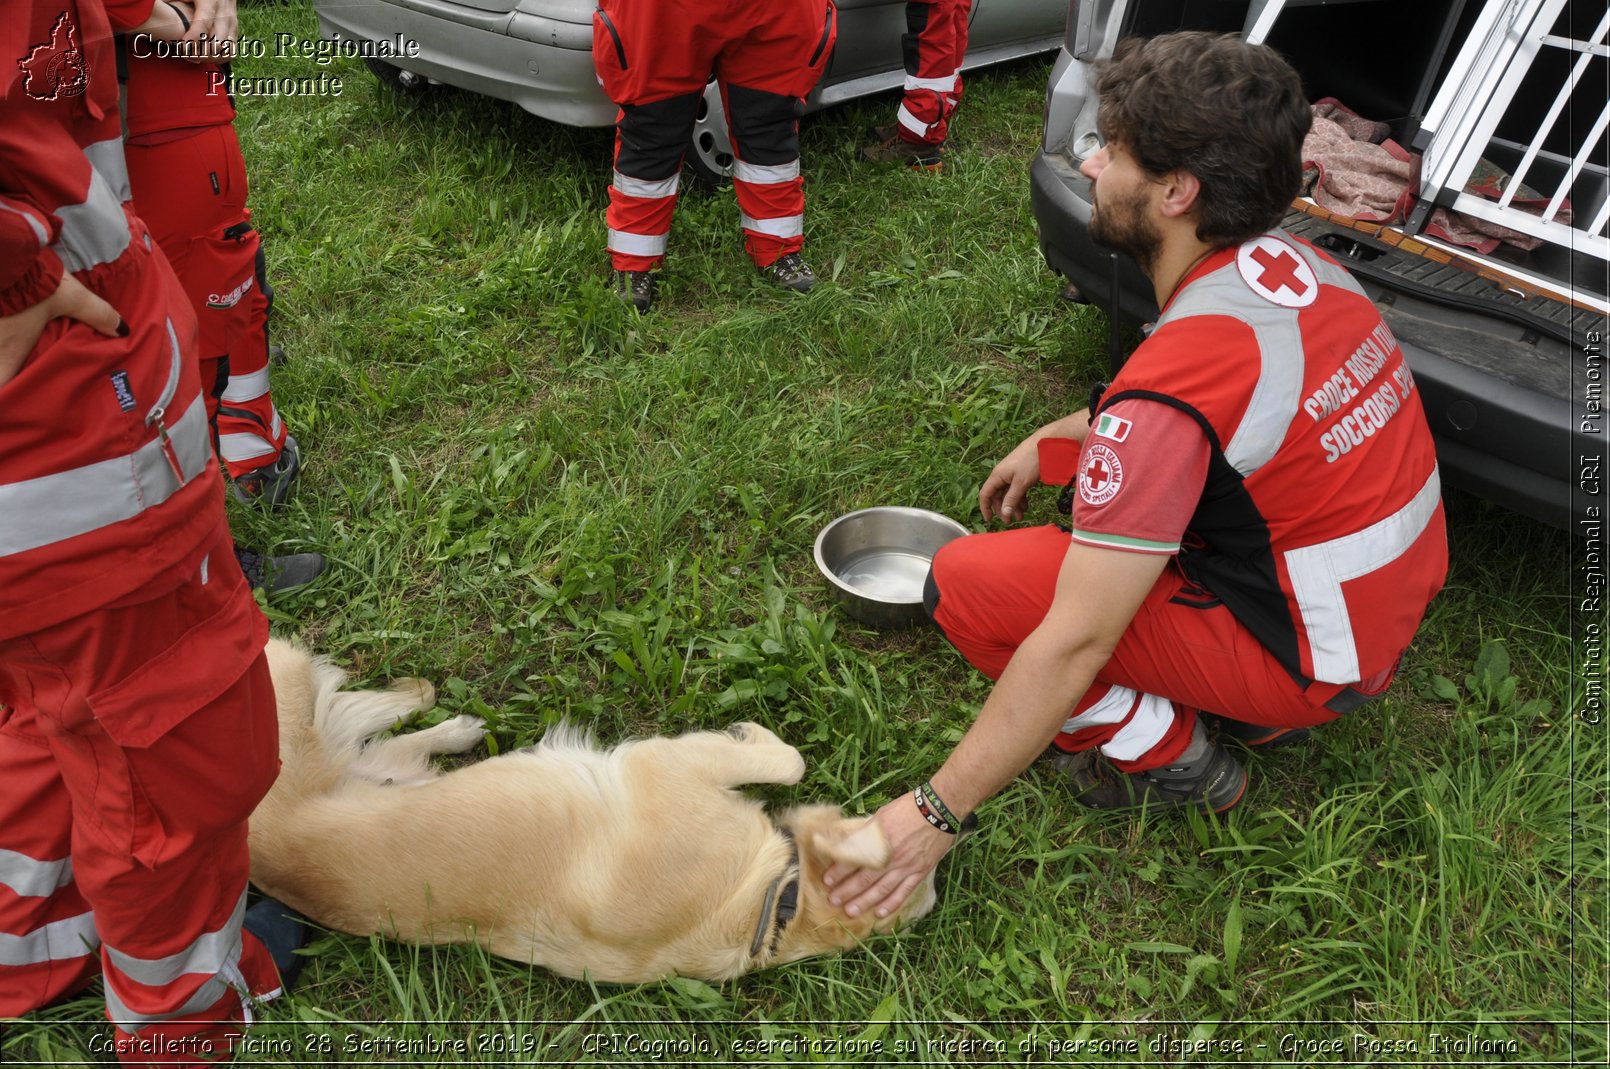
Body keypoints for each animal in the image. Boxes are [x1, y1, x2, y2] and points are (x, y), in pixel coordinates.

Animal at [244, 637, 940, 978]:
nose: (959, 829)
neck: (764, 907)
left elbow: (786, 761)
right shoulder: (662, 765)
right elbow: (788, 758)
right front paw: (754, 732)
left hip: (366, 751)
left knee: (372, 714)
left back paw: (452, 720)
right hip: (287, 688)